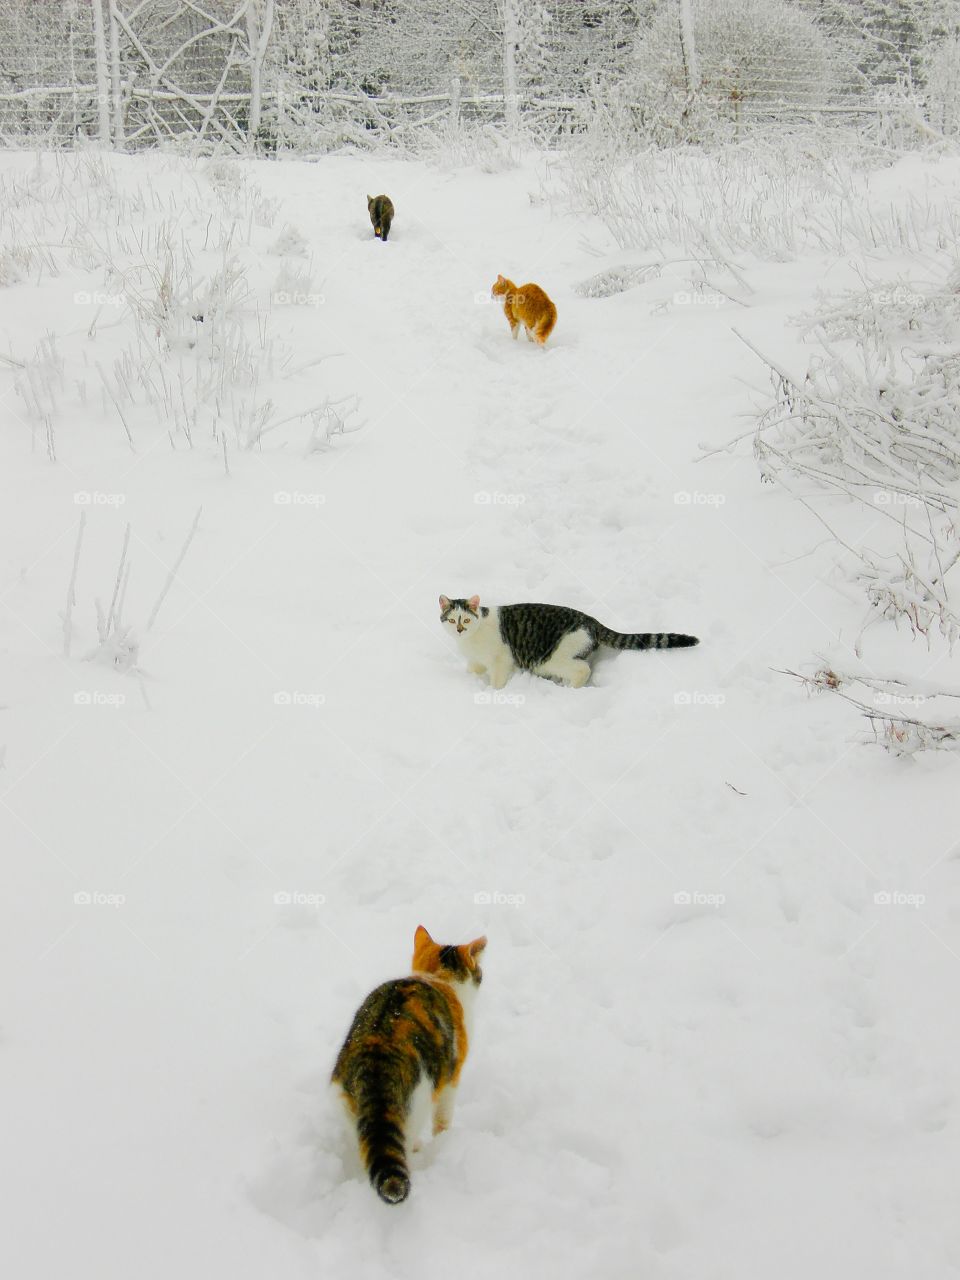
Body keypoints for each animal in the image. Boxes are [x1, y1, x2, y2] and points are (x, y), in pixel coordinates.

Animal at [332, 926, 488, 1203]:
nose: (483, 975)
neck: (438, 978)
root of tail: (375, 1058)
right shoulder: (452, 1076)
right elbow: (443, 1119)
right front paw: (444, 1140)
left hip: (350, 1108)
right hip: (419, 1099)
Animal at [442, 591, 701, 691]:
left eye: (466, 619)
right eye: (452, 619)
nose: (459, 629)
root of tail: (591, 621)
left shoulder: (501, 661)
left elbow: (497, 681)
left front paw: (494, 693)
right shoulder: (476, 661)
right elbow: (473, 669)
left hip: (551, 658)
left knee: (582, 669)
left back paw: (571, 689)